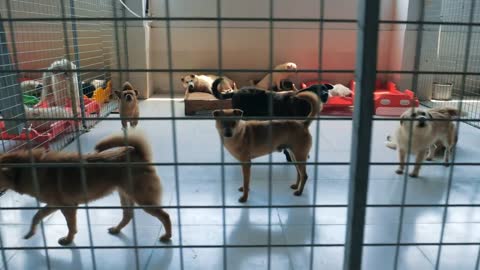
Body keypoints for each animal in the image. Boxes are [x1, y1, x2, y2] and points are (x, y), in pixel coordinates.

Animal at [0, 132, 172, 246]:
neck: (26, 171)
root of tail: (137, 154)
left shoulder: (67, 207)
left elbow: (71, 226)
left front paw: (68, 240)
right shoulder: (54, 205)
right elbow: (37, 216)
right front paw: (31, 232)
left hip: (144, 200)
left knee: (165, 216)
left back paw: (167, 236)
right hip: (125, 196)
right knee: (128, 216)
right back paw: (117, 229)